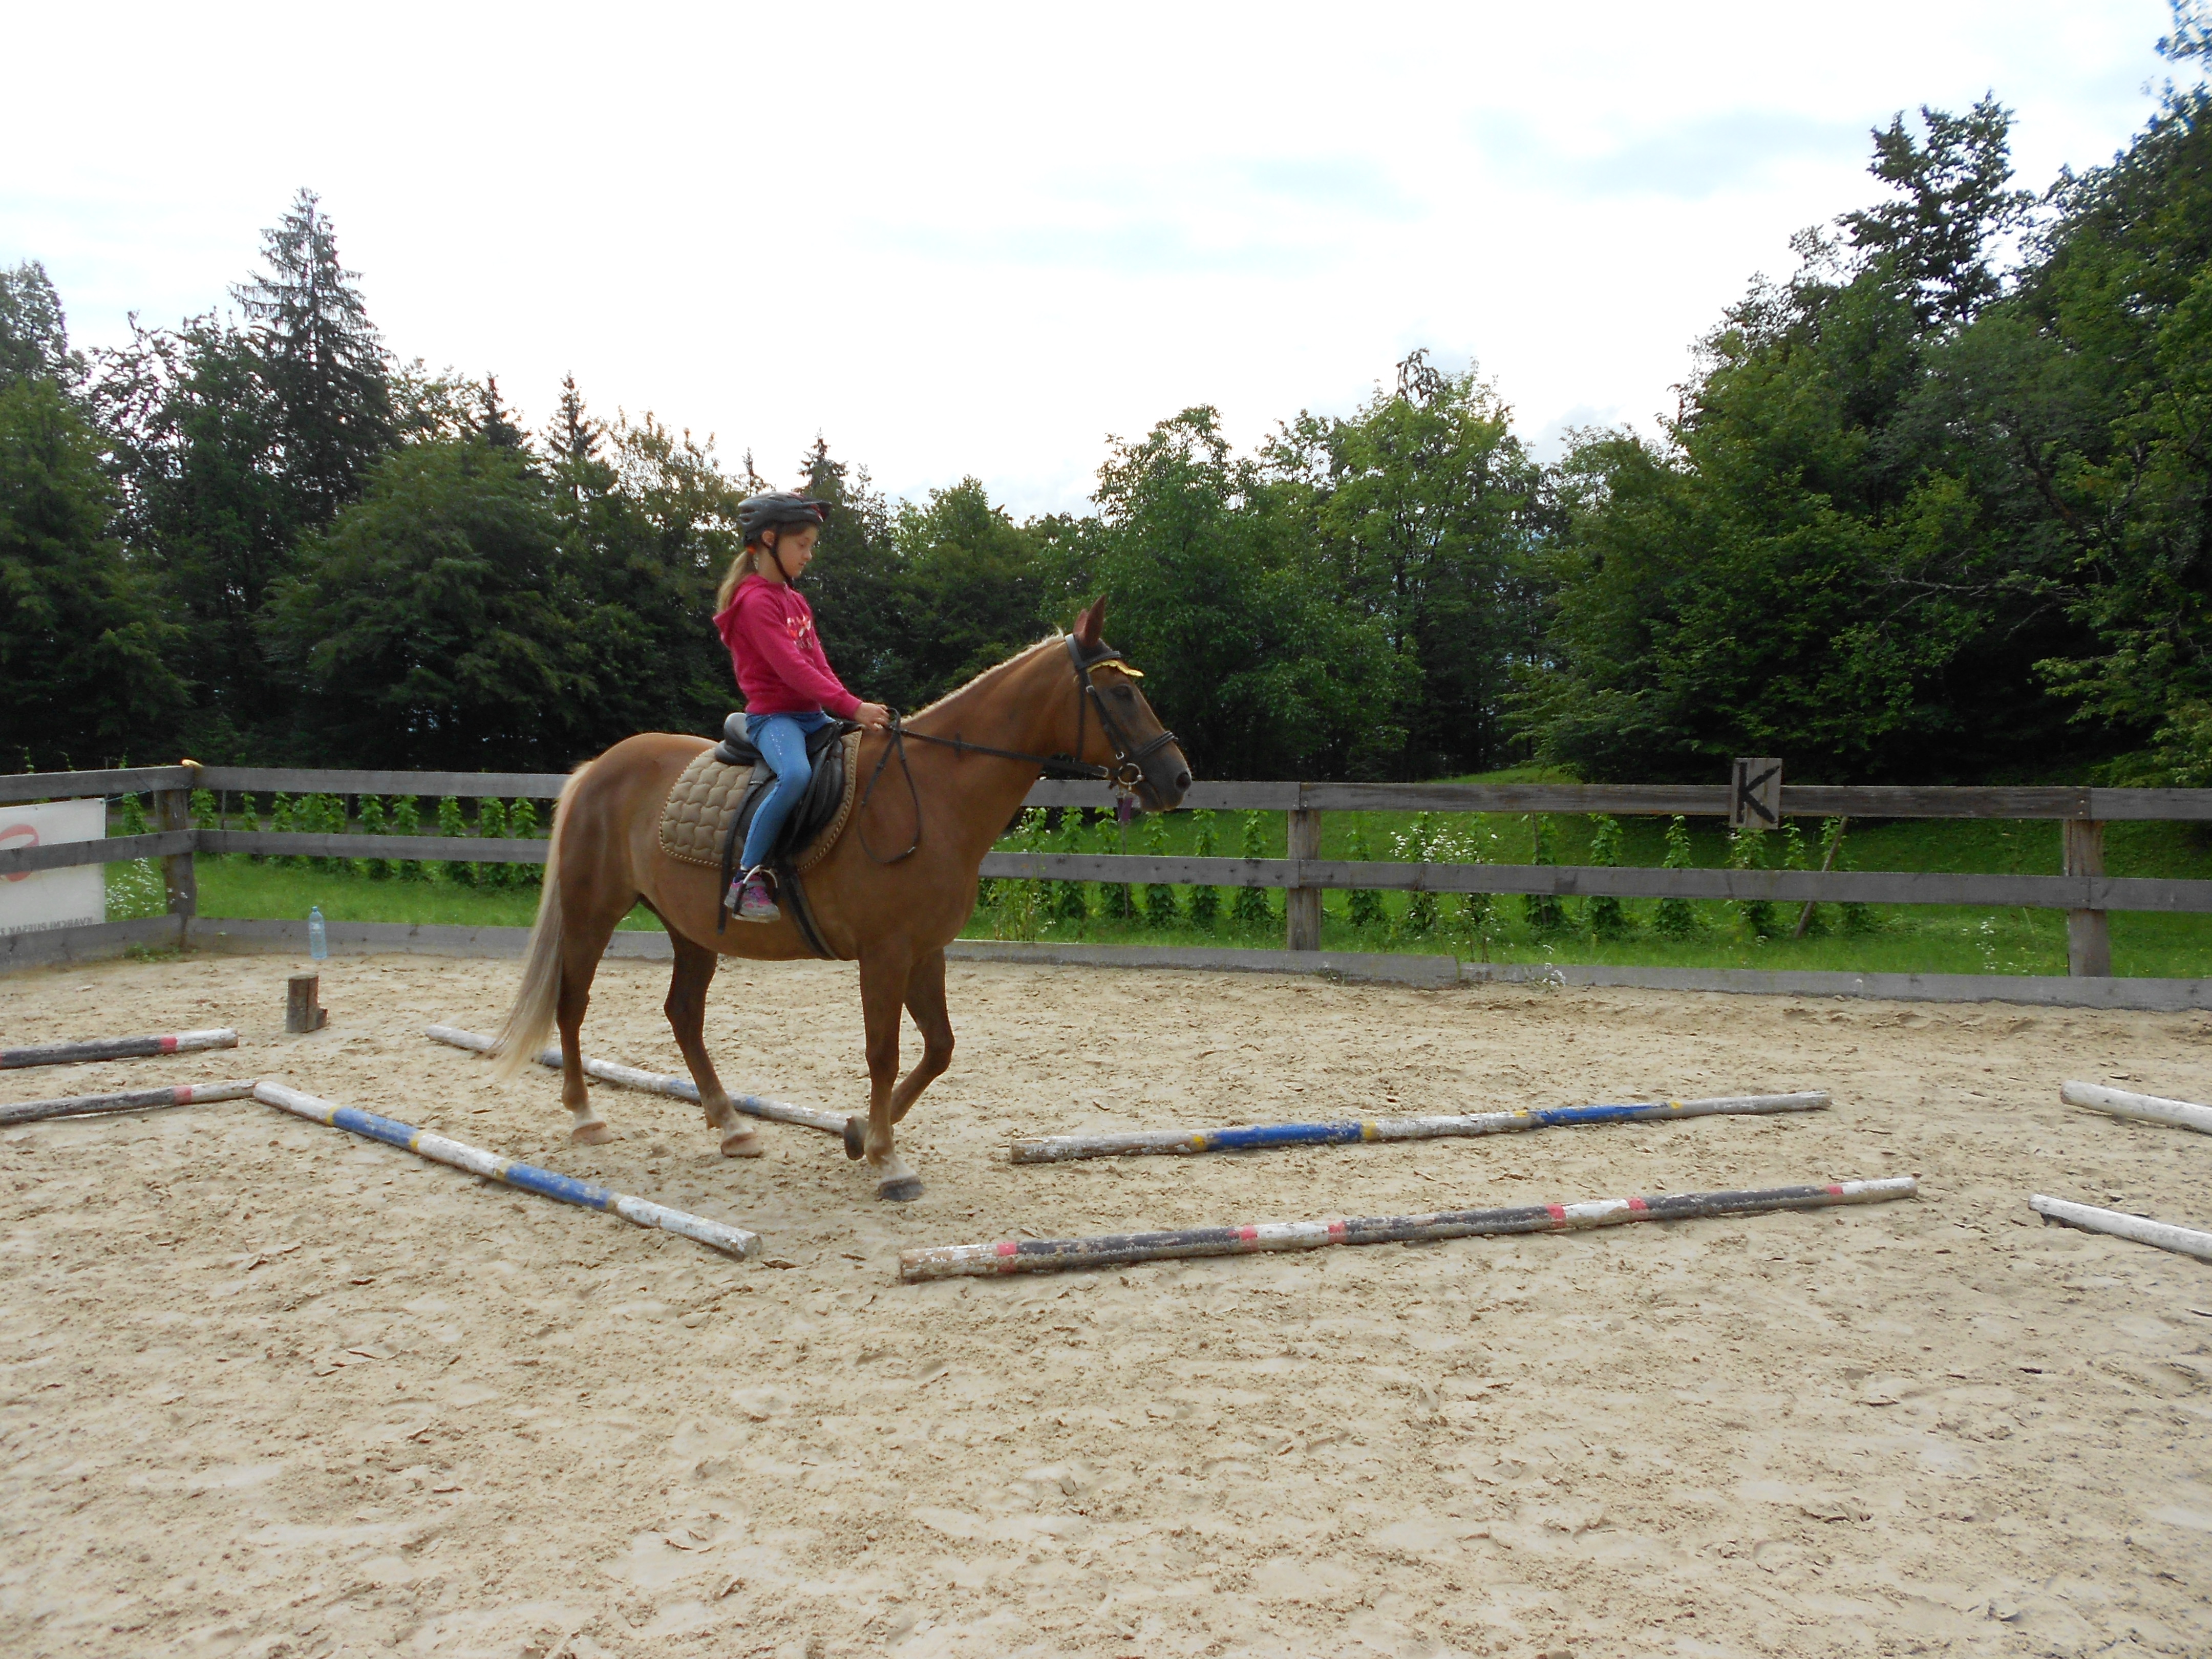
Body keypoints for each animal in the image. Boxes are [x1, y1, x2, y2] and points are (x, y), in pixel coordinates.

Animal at [488, 598, 1191, 1200]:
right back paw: (586, 1116)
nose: (1178, 778)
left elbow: (939, 1048)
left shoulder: (925, 951)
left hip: (691, 930)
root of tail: (597, 768)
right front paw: (887, 1158)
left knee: (683, 1013)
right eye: (1121, 692)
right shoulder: (885, 954)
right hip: (593, 913)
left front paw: (859, 1133)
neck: (930, 792)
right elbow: (884, 1051)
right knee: (573, 1004)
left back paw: (732, 1125)